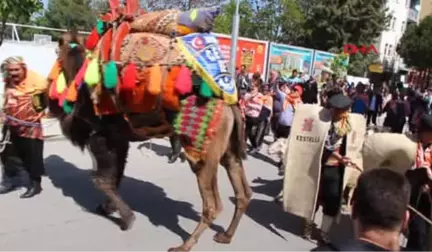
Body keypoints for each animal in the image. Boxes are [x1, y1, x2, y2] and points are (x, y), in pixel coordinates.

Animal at [42, 2, 251, 252]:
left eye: (57, 53)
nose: (45, 93)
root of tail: (231, 105)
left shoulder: (102, 136)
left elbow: (101, 179)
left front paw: (126, 218)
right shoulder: (119, 139)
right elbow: (114, 177)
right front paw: (108, 208)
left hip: (203, 151)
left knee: (213, 204)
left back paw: (184, 245)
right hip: (229, 151)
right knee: (243, 193)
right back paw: (226, 235)